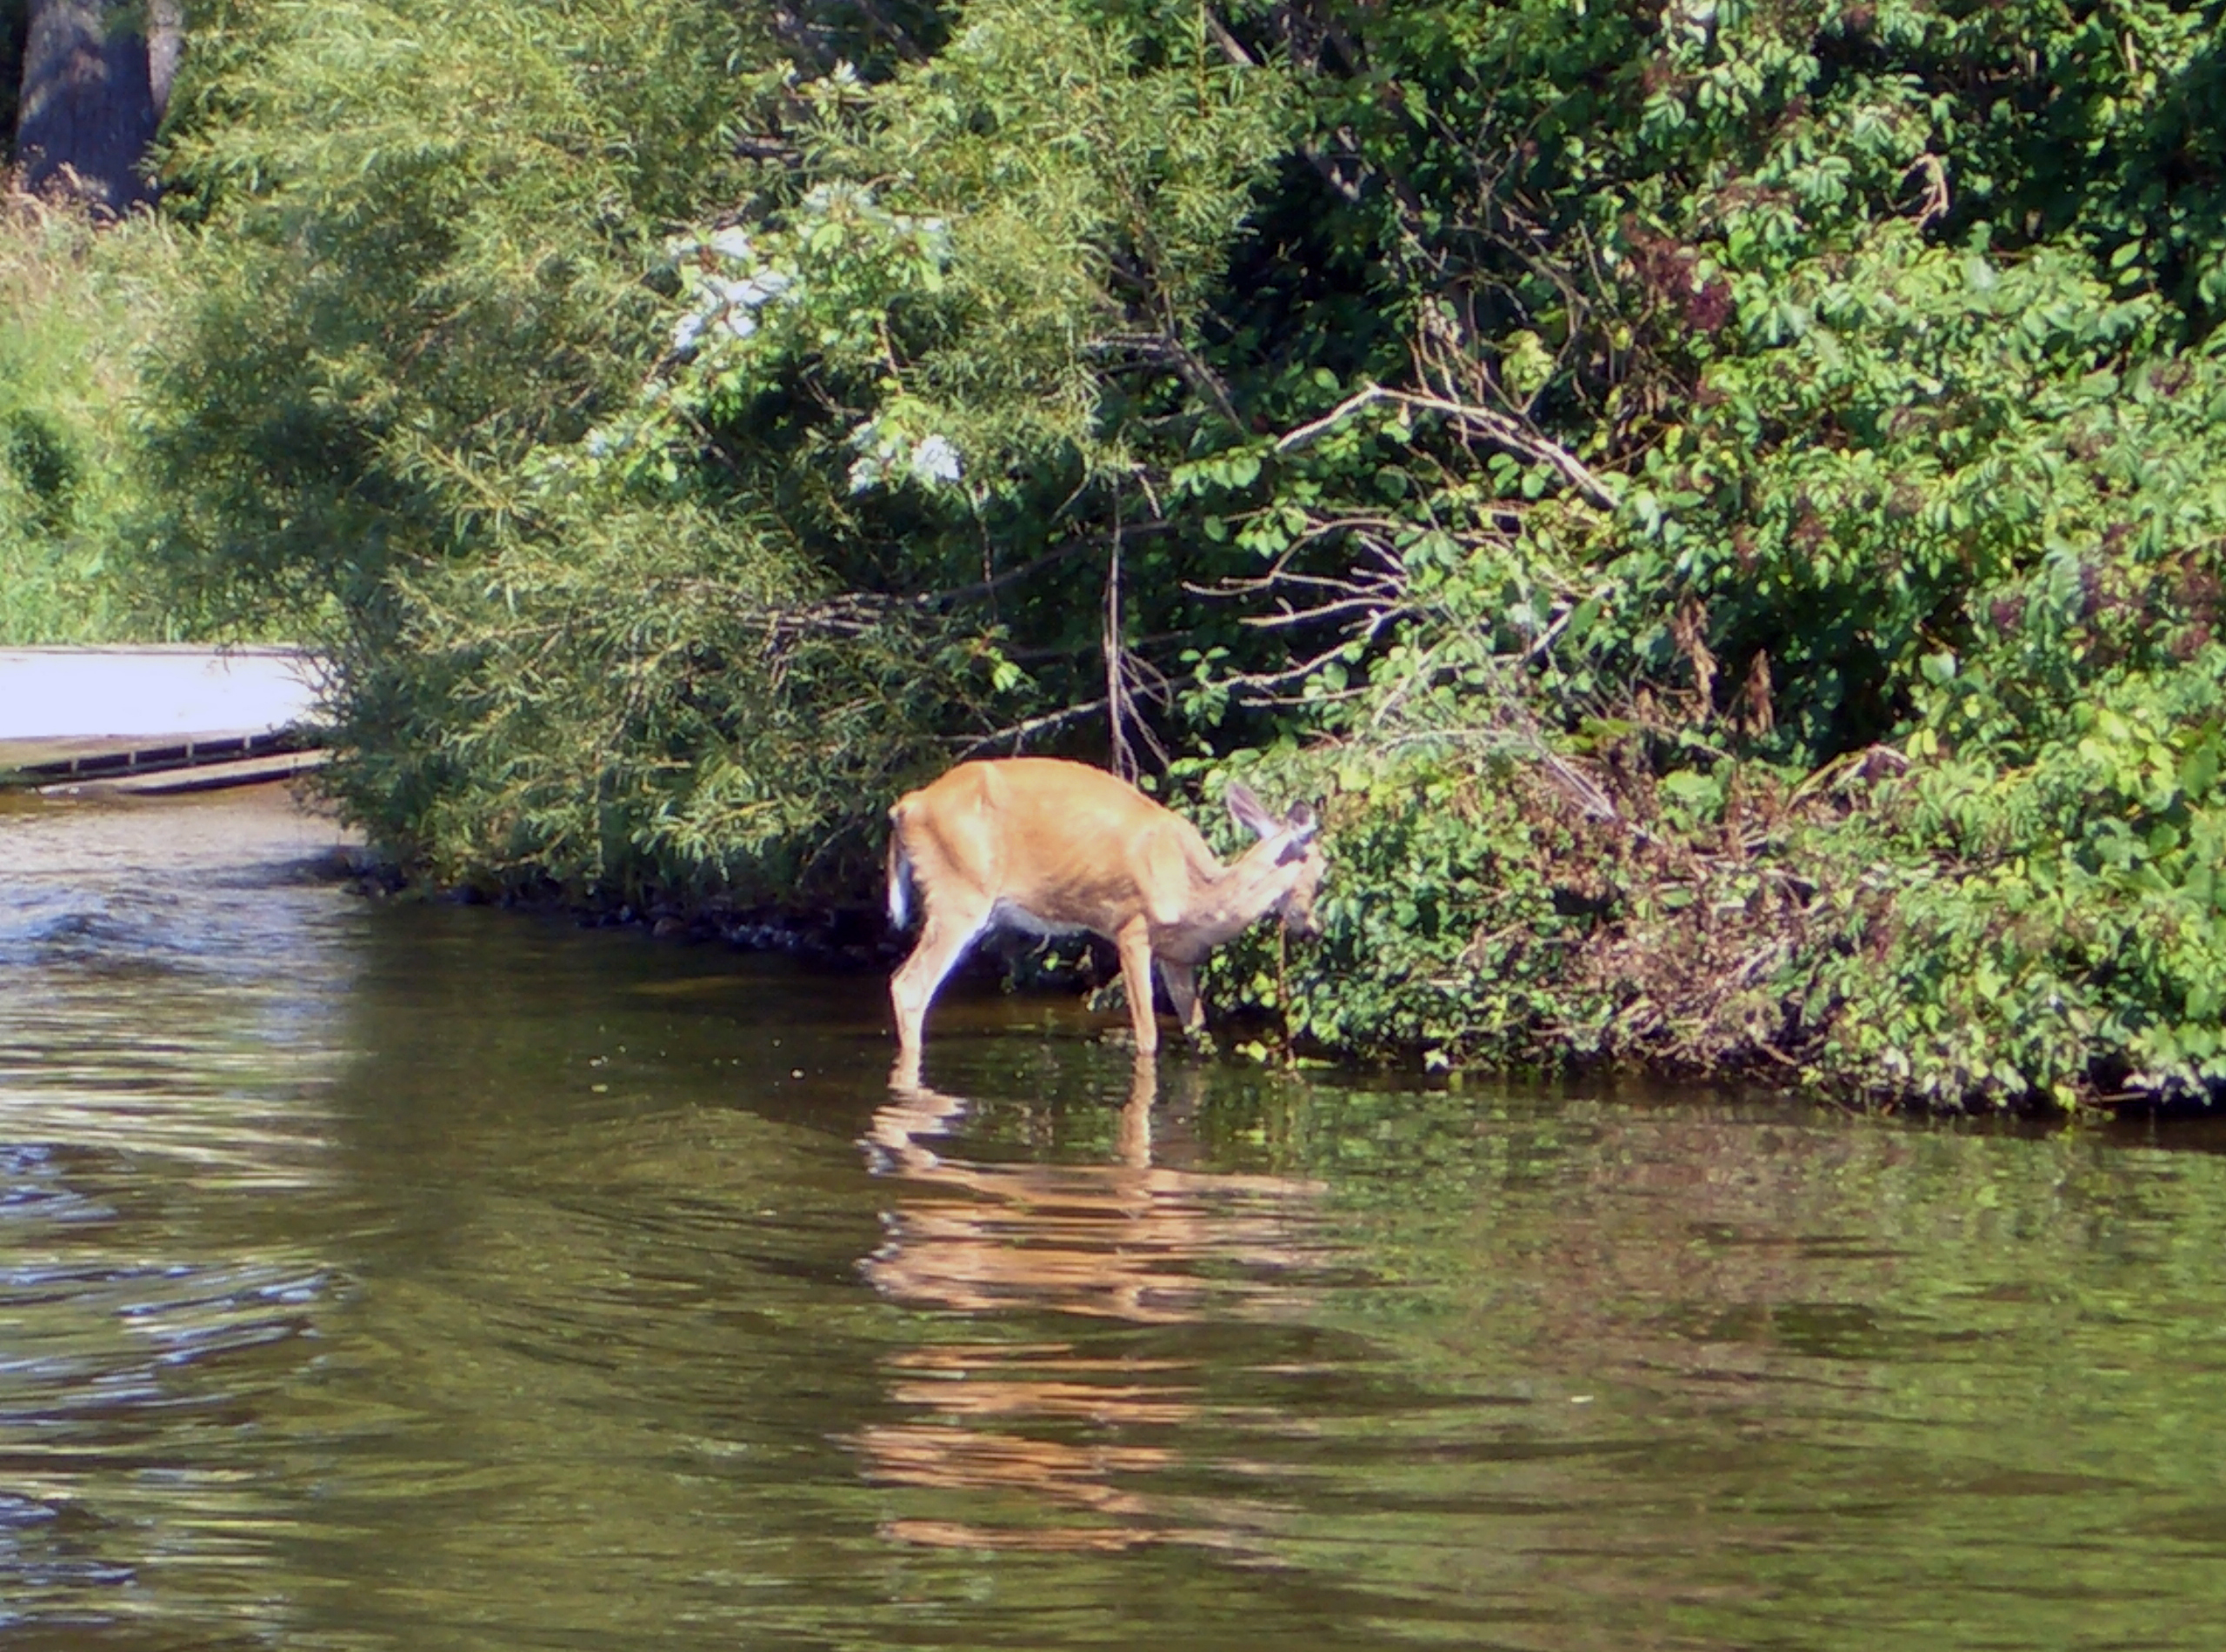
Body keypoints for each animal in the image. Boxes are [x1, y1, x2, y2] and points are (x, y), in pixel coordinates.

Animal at [876, 761, 1309, 1073]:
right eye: (1316, 866)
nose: (1311, 926)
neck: (1194, 895)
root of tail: (905, 807)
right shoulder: (1130, 929)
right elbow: (1148, 1034)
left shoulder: (1178, 956)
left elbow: (1198, 1032)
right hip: (959, 895)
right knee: (909, 986)